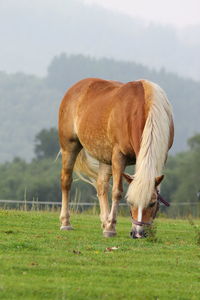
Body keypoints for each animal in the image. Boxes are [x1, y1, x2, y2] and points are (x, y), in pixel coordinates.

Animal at [57, 78, 173, 239]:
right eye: (130, 202)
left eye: (152, 203)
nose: (138, 233)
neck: (143, 107)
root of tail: (75, 87)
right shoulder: (119, 156)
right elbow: (117, 192)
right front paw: (111, 228)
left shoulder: (162, 157)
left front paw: (109, 225)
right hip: (70, 147)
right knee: (66, 181)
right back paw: (66, 222)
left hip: (105, 157)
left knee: (101, 185)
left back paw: (104, 221)